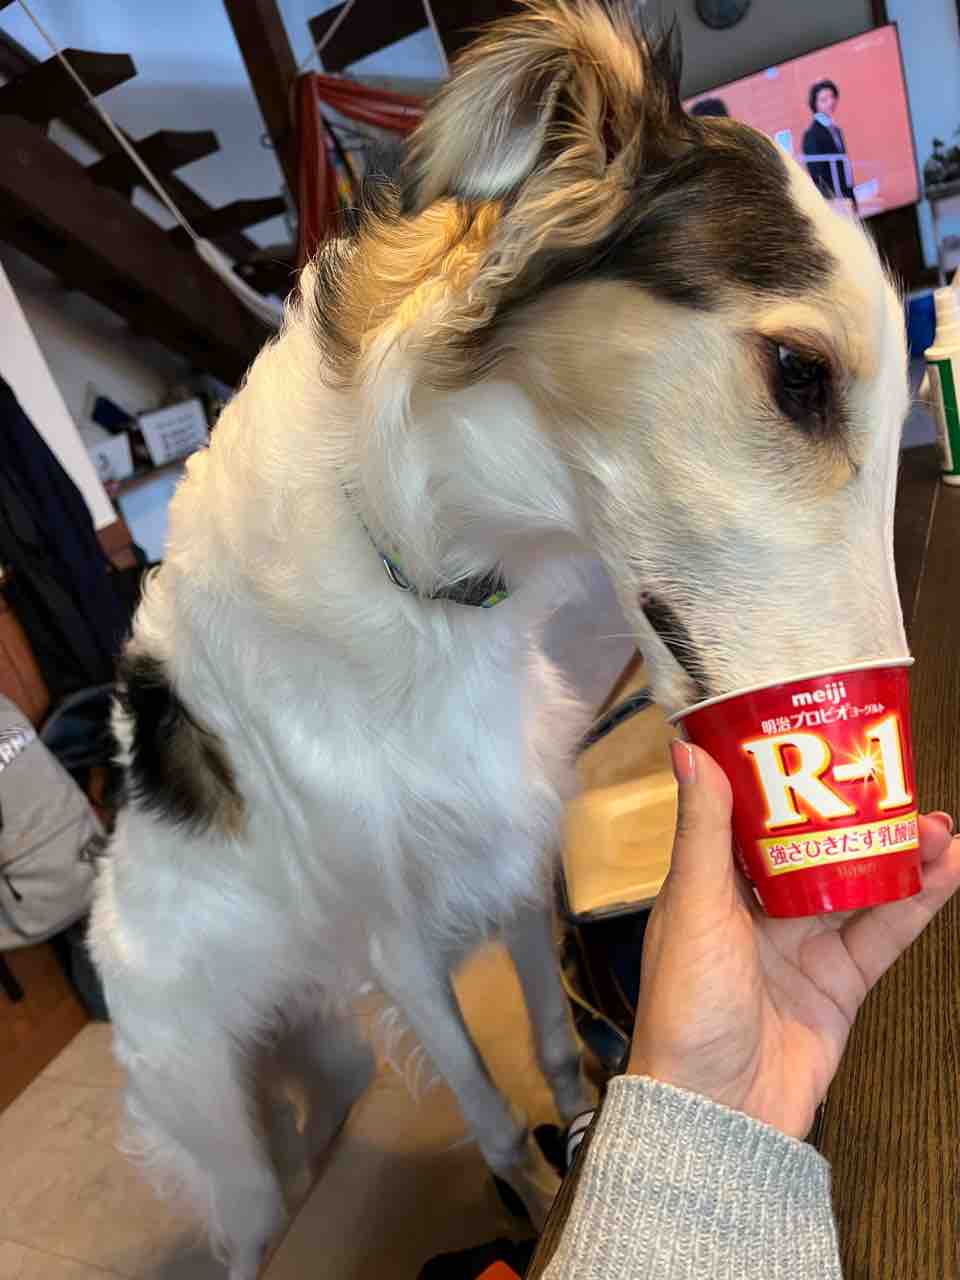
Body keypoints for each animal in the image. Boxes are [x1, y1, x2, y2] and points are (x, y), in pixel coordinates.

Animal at [90, 3, 910, 1275]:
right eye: (798, 373)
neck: (422, 563)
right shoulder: (397, 938)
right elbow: (485, 1105)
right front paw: (528, 1188)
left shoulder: (512, 860)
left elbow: (560, 1049)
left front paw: (573, 1133)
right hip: (227, 1137)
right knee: (250, 1223)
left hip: (326, 1062)